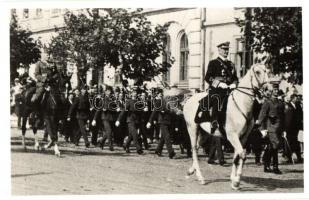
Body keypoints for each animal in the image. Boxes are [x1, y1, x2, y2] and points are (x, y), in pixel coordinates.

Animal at [183, 57, 270, 189]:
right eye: (258, 72)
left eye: (267, 70)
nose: (269, 89)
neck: (241, 104)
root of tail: (189, 100)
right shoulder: (232, 136)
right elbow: (242, 155)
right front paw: (237, 180)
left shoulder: (243, 137)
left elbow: (237, 156)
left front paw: (233, 179)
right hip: (192, 128)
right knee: (193, 149)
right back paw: (200, 177)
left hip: (204, 133)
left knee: (196, 149)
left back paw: (191, 171)